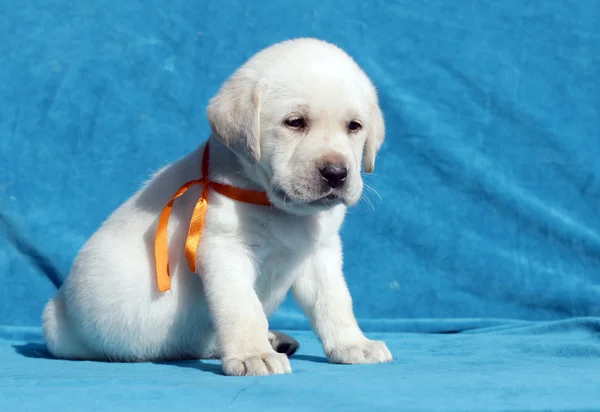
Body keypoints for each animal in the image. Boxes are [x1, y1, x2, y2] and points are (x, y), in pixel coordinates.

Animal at [41, 38, 390, 376]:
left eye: (354, 126)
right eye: (295, 122)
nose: (336, 173)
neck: (276, 206)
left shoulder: (321, 253)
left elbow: (334, 301)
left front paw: (354, 344)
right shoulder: (226, 252)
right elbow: (242, 308)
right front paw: (253, 355)